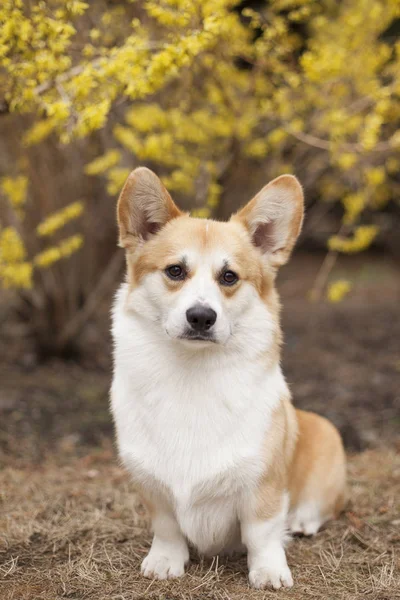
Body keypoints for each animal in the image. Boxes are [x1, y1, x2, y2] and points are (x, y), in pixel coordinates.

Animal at [110, 166, 346, 588]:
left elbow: (262, 532)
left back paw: (302, 521)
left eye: (229, 277)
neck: (191, 373)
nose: (202, 317)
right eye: (175, 271)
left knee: (318, 507)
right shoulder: (152, 485)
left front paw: (269, 572)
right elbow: (167, 527)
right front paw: (165, 562)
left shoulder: (262, 487)